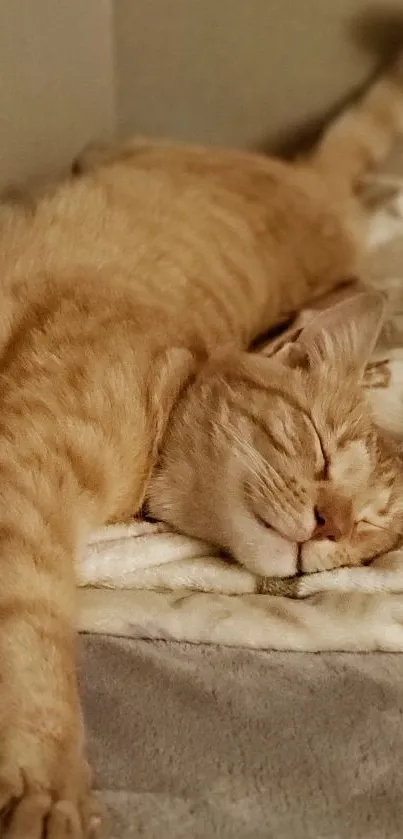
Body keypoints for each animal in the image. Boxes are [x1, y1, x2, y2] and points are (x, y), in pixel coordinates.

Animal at [0, 57, 403, 832]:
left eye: (368, 530)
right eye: (319, 447)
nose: (327, 524)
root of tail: (319, 188)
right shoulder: (23, 473)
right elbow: (29, 626)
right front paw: (44, 781)